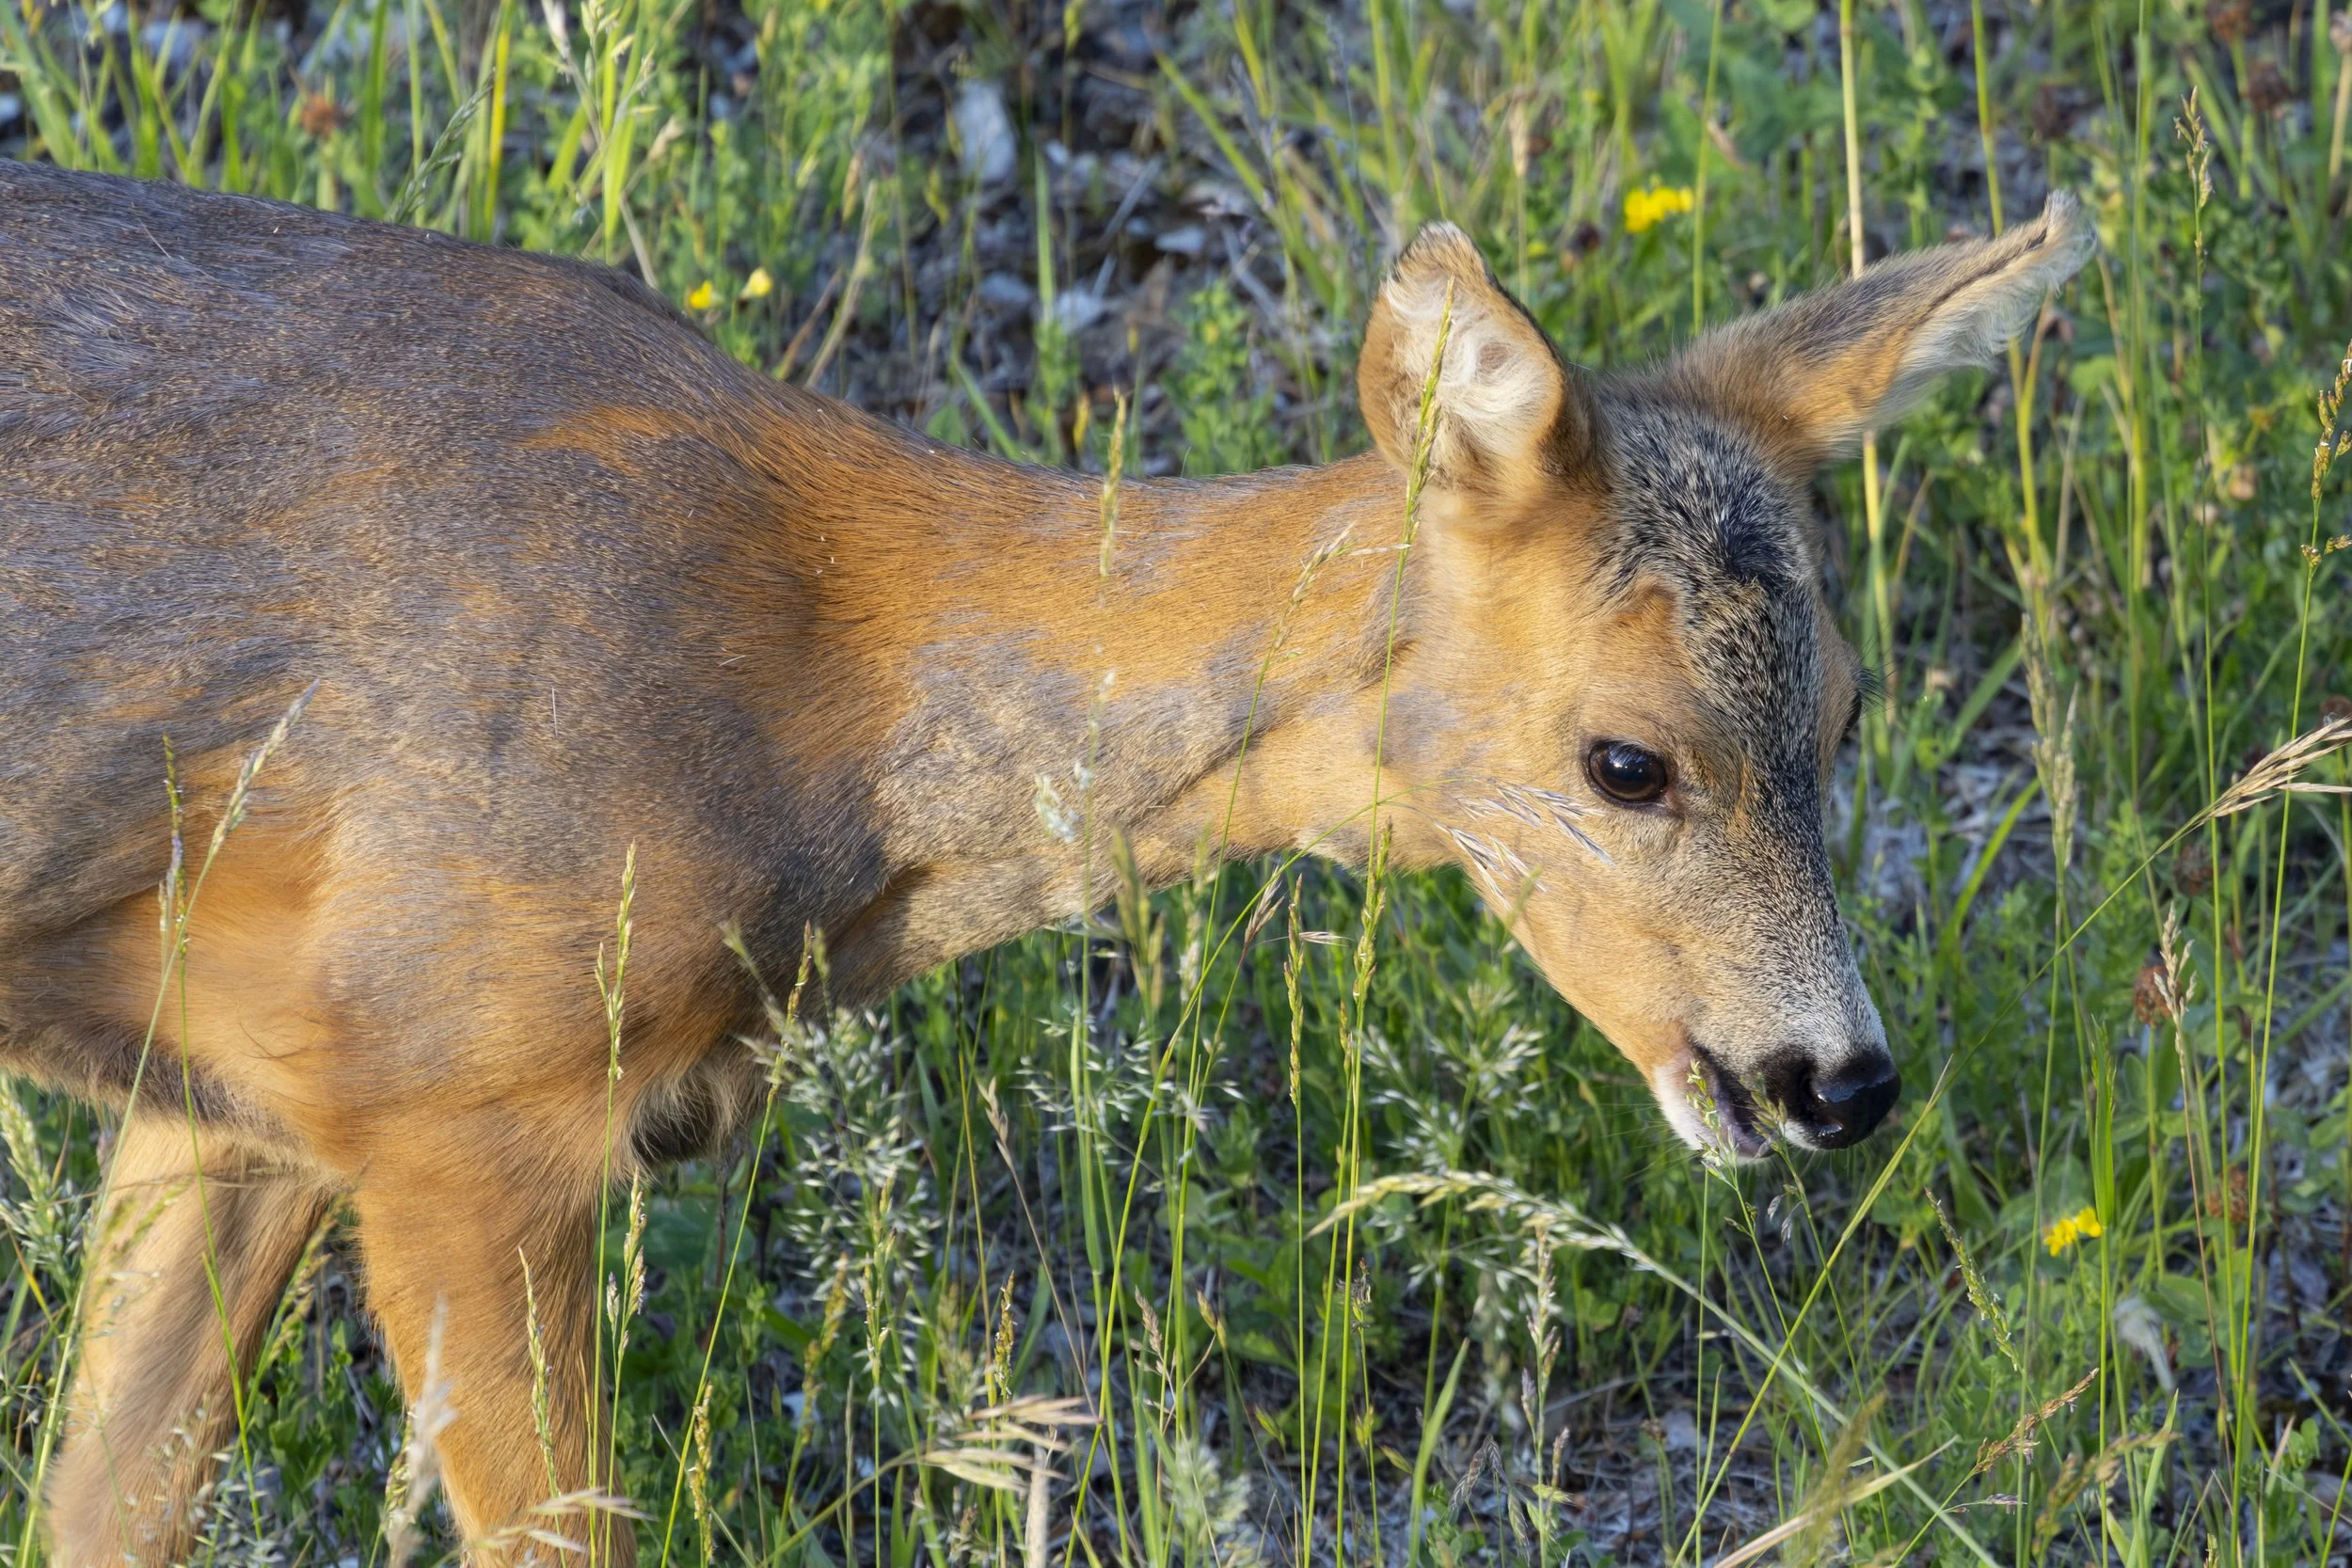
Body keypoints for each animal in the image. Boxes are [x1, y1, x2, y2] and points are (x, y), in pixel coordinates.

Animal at [0, 157, 2092, 1564]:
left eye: (1842, 719)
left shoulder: (240, 1103)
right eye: (1628, 759)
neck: (821, 701)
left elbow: (101, 1500)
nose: (1831, 1075)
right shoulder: (459, 1111)